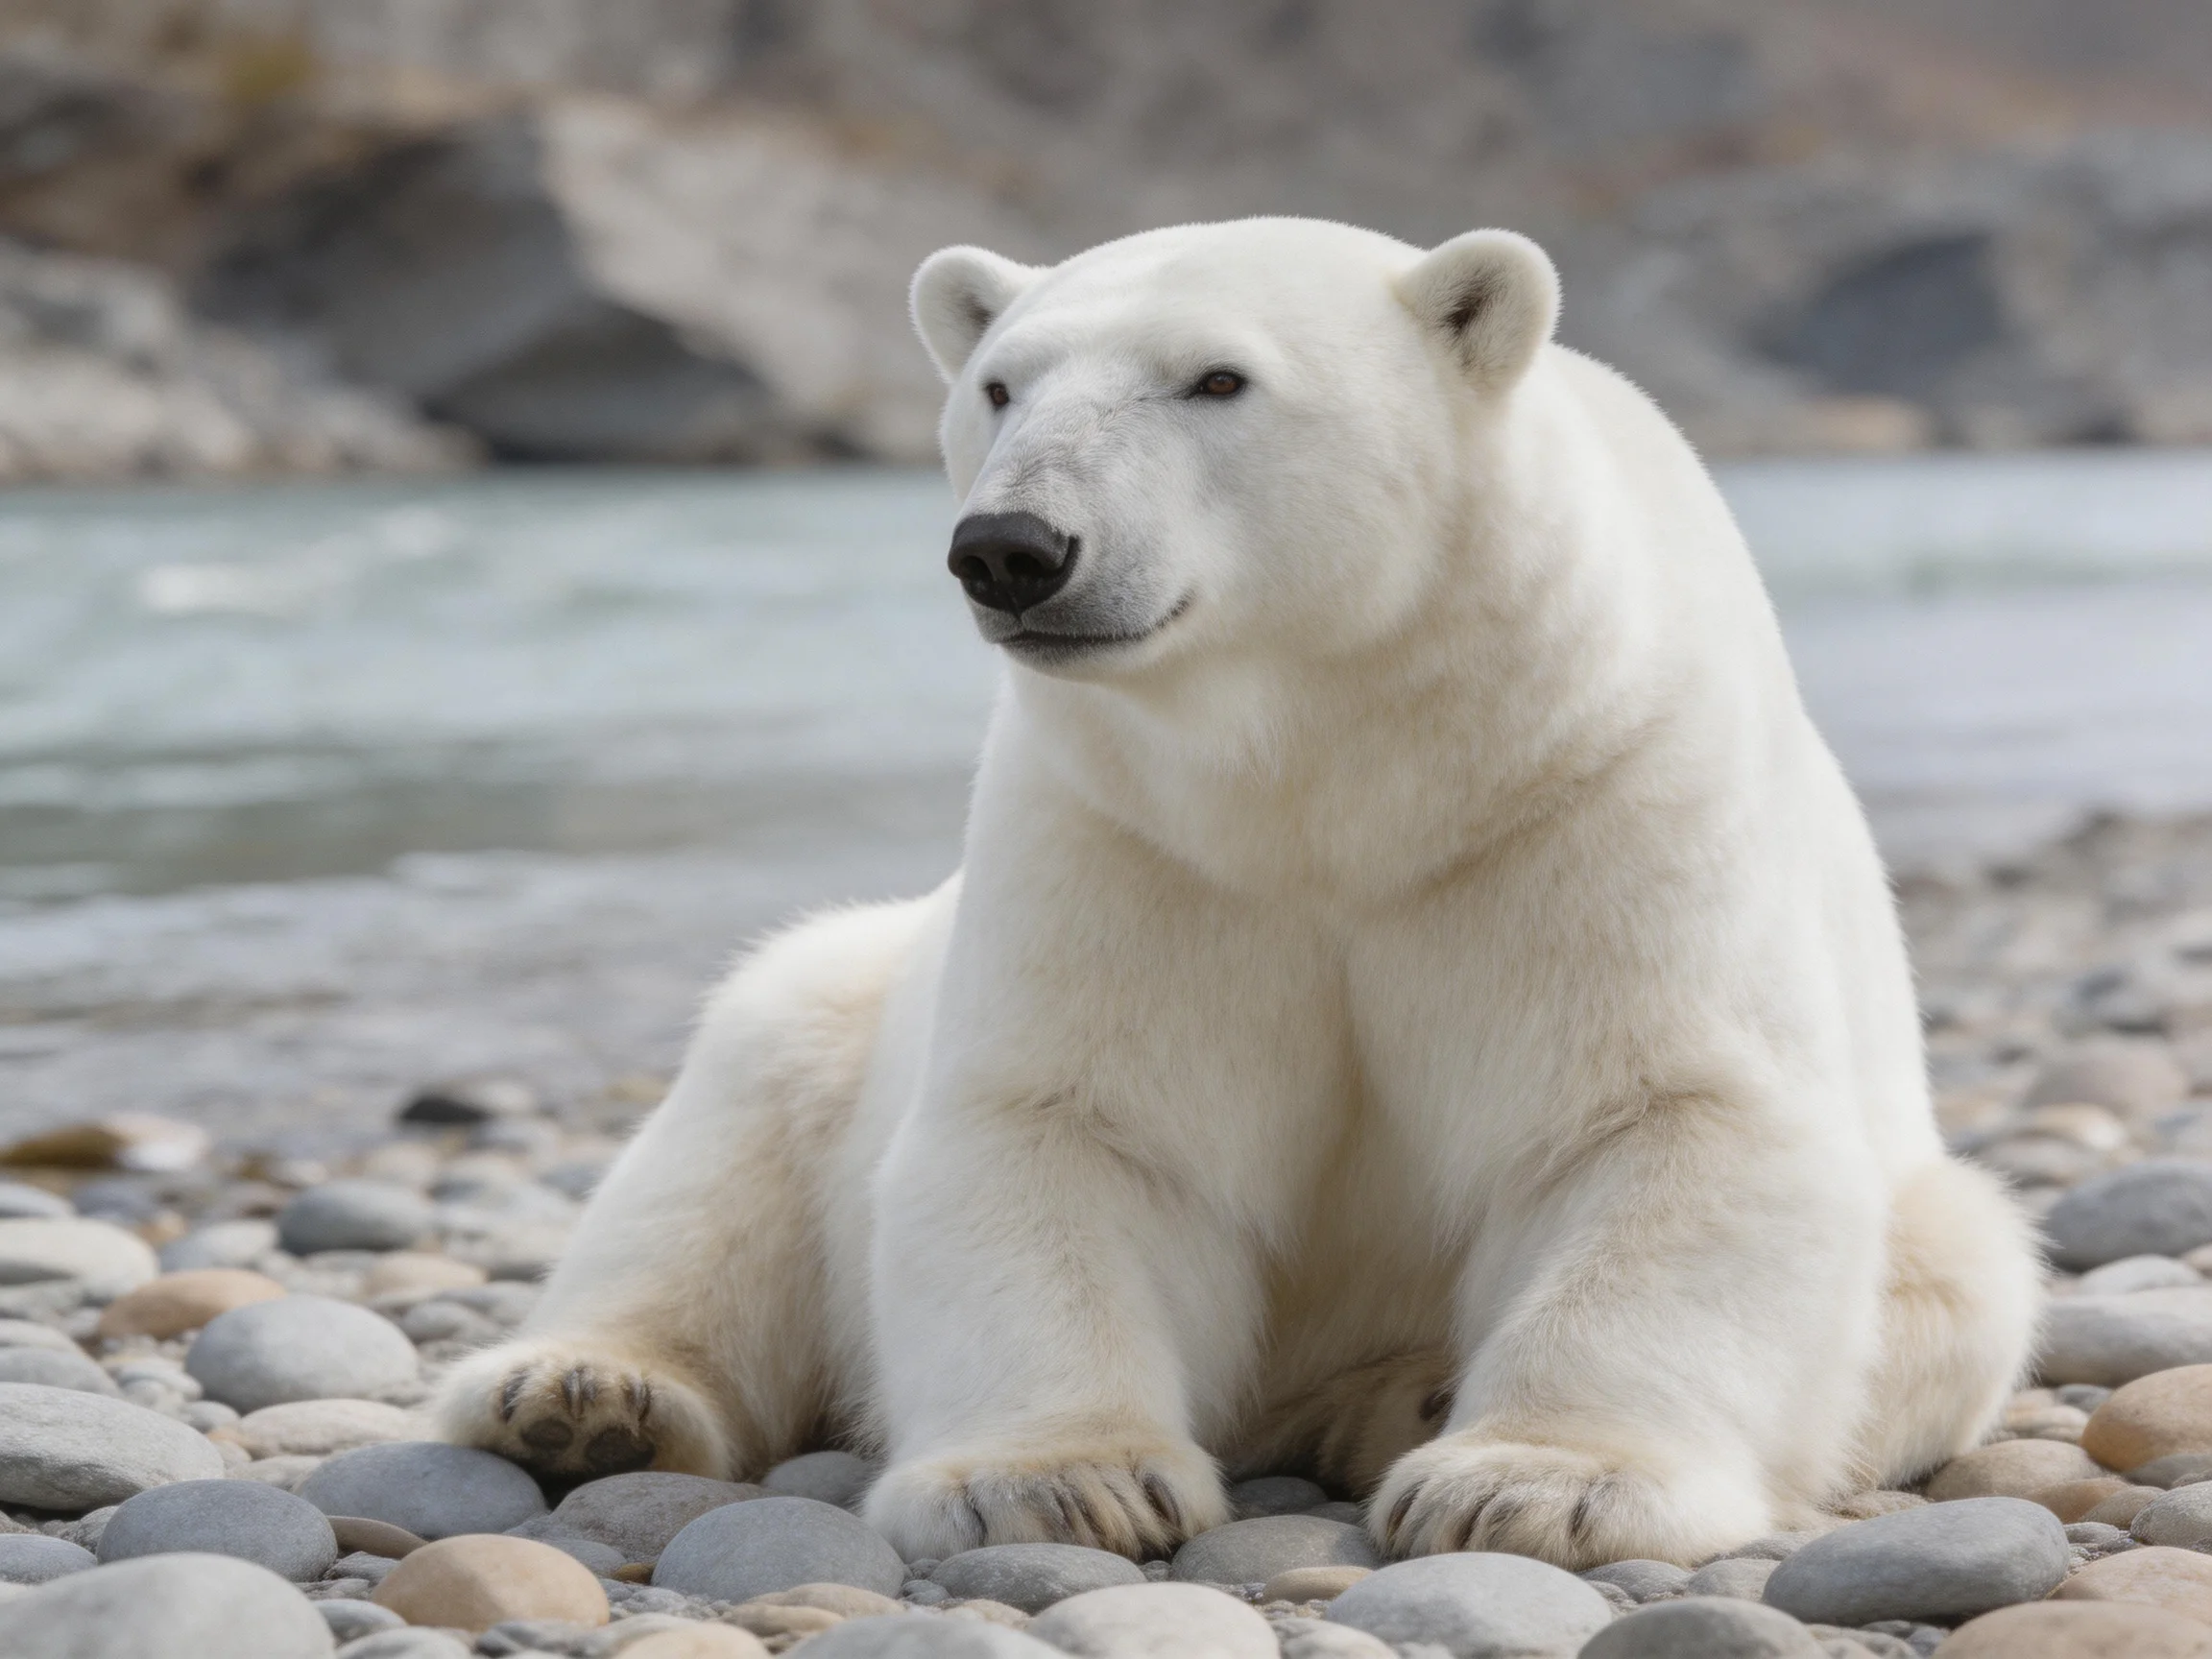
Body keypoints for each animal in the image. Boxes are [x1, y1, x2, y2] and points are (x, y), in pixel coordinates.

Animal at [433, 217, 2040, 1569]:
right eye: (1002, 385)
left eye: (1217, 379)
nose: (1013, 548)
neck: (1337, 774)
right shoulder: (1130, 836)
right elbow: (1067, 1127)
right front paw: (1055, 1480)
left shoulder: (1595, 790)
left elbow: (1669, 1116)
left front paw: (1535, 1483)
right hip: (844, 999)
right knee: (726, 1142)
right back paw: (582, 1395)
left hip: (1939, 1248)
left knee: (1964, 1272)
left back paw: (1405, 1402)